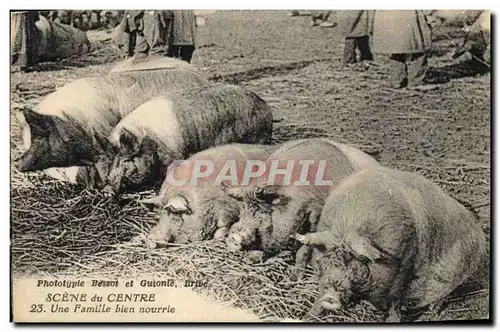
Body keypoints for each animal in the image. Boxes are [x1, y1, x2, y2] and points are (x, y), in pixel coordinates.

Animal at [94, 83, 274, 196]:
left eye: (126, 160)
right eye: (110, 159)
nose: (105, 190)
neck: (151, 140)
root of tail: (265, 105)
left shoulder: (175, 156)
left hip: (257, 138)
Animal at [140, 143, 278, 246]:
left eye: (175, 214)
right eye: (160, 214)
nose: (150, 240)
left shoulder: (229, 210)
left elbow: (222, 228)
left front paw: (219, 237)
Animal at [294, 166, 486, 322]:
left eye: (360, 265)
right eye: (323, 263)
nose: (330, 296)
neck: (350, 224)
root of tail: (479, 231)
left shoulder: (407, 258)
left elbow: (395, 295)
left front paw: (392, 319)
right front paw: (308, 316)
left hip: (465, 270)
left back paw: (434, 310)